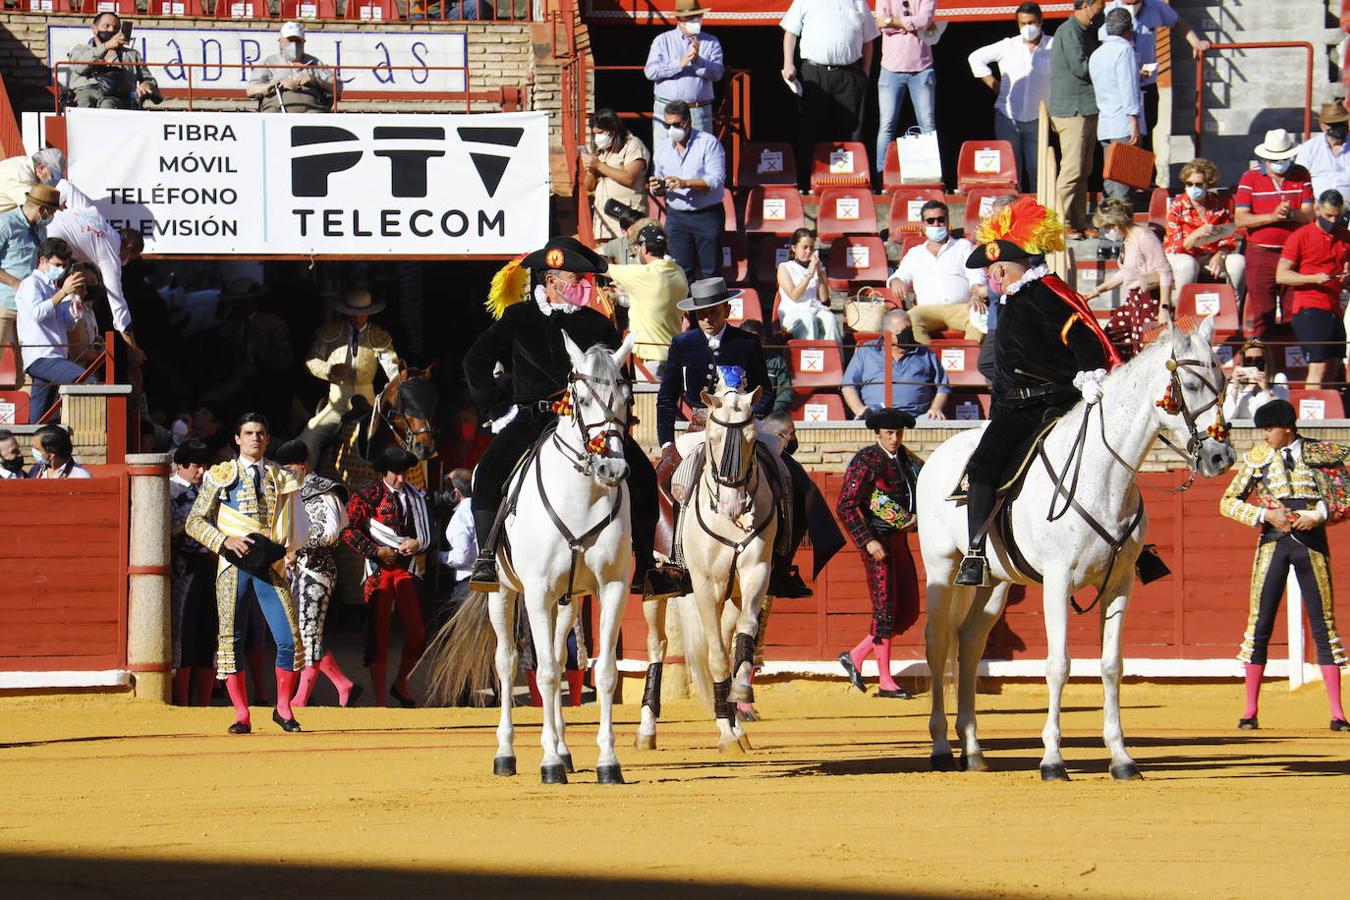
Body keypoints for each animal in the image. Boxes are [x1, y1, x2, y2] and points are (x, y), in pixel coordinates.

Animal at [423, 334, 634, 782]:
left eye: (626, 398)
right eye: (581, 399)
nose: (612, 468)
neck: (581, 497)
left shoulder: (612, 588)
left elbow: (604, 672)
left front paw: (607, 761)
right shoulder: (536, 592)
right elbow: (546, 674)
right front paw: (548, 763)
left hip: (566, 602)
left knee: (558, 654)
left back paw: (564, 749)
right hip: (503, 593)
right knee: (507, 662)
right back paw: (508, 754)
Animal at [639, 380, 783, 755]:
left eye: (751, 437)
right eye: (715, 438)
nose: (734, 505)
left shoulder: (757, 572)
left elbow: (745, 632)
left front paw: (741, 694)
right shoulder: (704, 584)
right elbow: (716, 655)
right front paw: (726, 733)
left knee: (727, 634)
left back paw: (735, 724)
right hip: (654, 588)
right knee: (658, 645)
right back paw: (647, 730)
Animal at [918, 322, 1236, 782]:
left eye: (1224, 384)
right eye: (1190, 385)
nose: (1220, 455)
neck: (1103, 476)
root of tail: (936, 455)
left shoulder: (1120, 583)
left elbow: (1111, 666)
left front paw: (1121, 757)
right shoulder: (1057, 580)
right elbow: (1058, 664)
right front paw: (1052, 759)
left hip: (993, 582)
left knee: (971, 643)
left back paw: (973, 749)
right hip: (941, 568)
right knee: (938, 642)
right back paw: (942, 747)